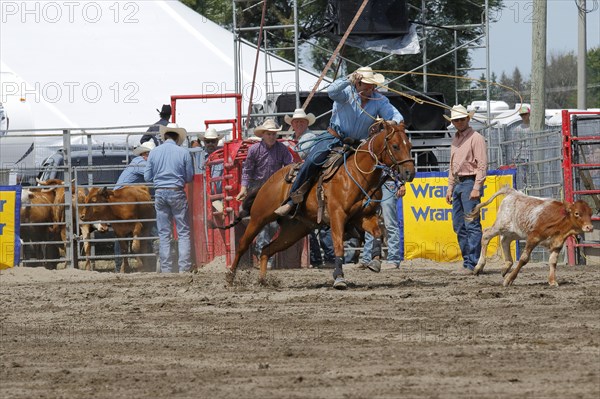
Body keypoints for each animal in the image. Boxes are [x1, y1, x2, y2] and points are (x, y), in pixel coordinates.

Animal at [227, 120, 414, 290]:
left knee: (267, 249)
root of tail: (268, 181)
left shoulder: (364, 216)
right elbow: (338, 245)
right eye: (395, 146)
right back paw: (230, 277)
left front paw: (374, 262)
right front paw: (339, 278)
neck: (357, 174)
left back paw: (263, 281)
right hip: (259, 218)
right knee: (242, 245)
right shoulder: (337, 215)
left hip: (293, 231)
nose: (410, 172)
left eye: (410, 145)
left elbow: (377, 233)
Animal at [468, 188, 596, 288]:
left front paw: (552, 281)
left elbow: (553, 261)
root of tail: (512, 193)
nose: (589, 227)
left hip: (514, 231)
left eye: (590, 213)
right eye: (577, 213)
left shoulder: (557, 243)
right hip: (501, 225)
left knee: (505, 240)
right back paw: (479, 266)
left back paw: (506, 266)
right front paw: (509, 280)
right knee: (486, 235)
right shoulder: (533, 238)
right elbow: (524, 259)